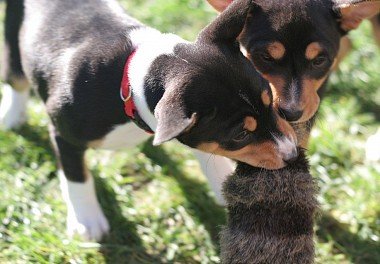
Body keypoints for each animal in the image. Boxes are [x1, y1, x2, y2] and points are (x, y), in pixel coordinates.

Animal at [0, 0, 298, 240]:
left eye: (270, 100)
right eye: (240, 135)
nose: (293, 154)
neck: (129, 85)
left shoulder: (191, 133)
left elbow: (212, 160)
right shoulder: (64, 134)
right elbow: (77, 177)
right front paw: (87, 222)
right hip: (13, 32)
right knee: (16, 77)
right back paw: (12, 116)